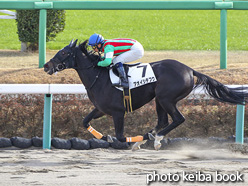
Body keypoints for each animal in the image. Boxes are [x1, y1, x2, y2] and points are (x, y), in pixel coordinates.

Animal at [43, 40, 247, 150]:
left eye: (64, 52)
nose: (46, 66)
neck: (98, 77)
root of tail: (189, 70)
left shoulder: (118, 112)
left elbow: (120, 137)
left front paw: (125, 140)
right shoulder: (101, 109)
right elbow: (85, 121)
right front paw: (104, 136)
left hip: (166, 98)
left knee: (178, 119)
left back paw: (154, 139)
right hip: (159, 99)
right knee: (163, 121)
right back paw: (149, 138)